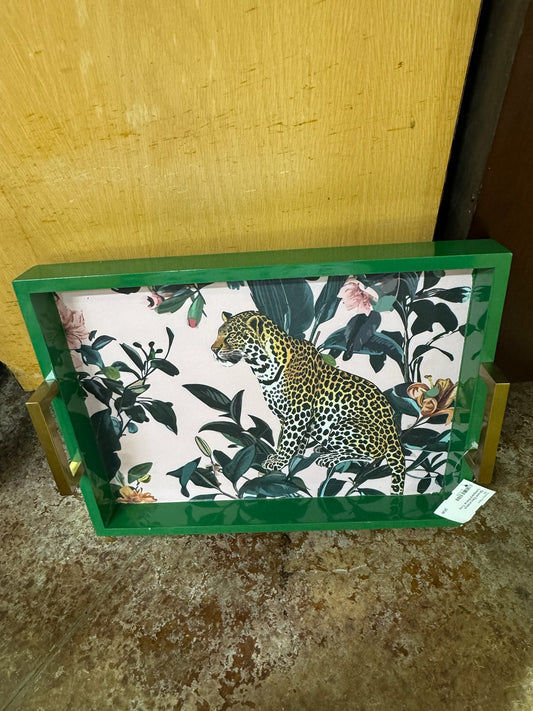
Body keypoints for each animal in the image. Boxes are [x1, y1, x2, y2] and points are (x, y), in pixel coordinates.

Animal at [211, 310, 405, 495]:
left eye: (230, 335)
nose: (213, 350)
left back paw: (330, 458)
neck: (263, 368)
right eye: (218, 333)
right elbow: (296, 441)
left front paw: (280, 461)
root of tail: (394, 435)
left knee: (372, 456)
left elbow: (288, 440)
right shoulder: (289, 417)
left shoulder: (298, 412)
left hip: (343, 426)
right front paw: (294, 460)